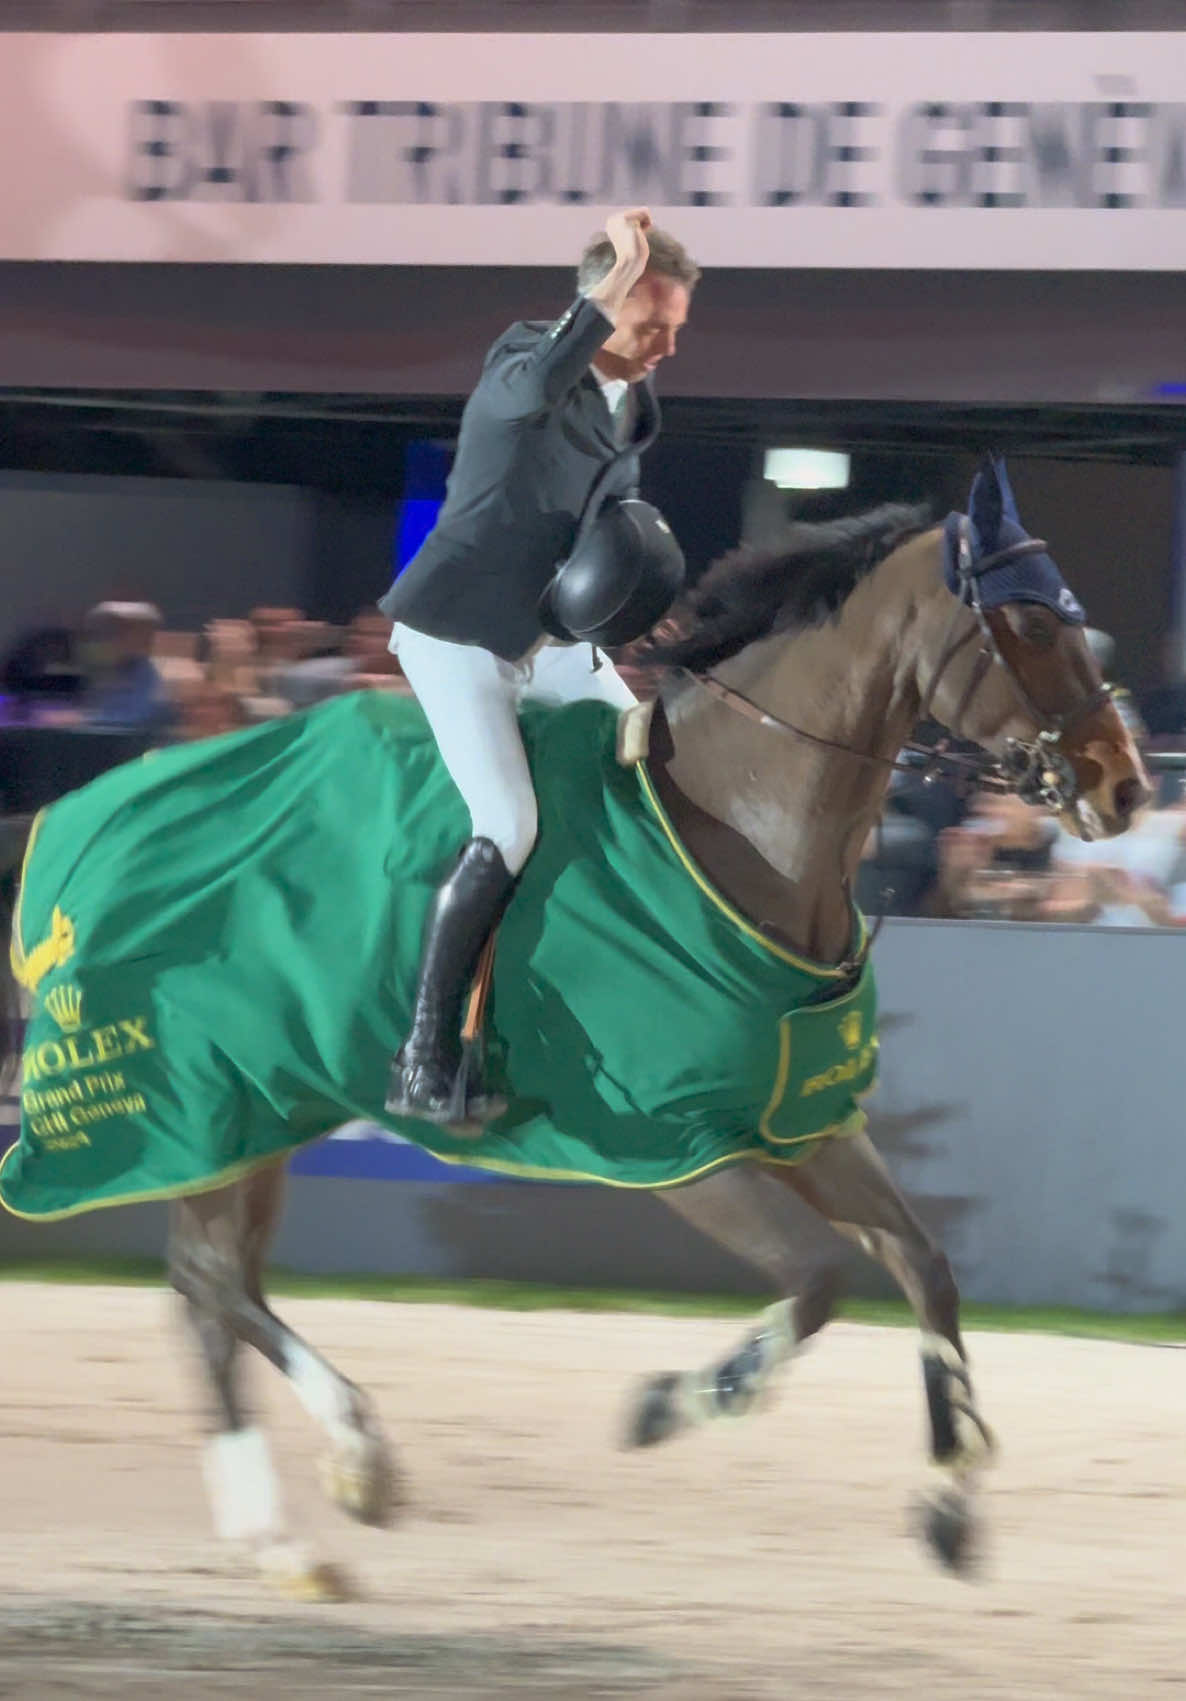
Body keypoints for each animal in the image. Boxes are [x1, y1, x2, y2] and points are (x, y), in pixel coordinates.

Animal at [0, 455, 1150, 1592]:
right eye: (1032, 622)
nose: (1125, 787)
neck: (745, 829)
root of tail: (80, 821)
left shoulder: (808, 1123)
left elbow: (926, 1267)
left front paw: (951, 1497)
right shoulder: (681, 1146)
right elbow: (820, 1280)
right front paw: (684, 1400)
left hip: (252, 1108)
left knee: (210, 1283)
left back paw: (296, 1520)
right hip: (205, 1091)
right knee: (207, 1278)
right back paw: (338, 1475)